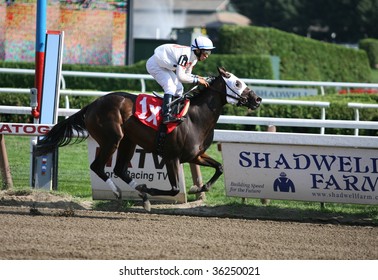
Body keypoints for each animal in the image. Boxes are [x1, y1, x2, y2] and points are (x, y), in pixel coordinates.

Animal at [36, 67, 260, 210]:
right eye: (237, 82)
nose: (257, 99)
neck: (195, 118)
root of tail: (92, 104)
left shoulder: (195, 155)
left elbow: (220, 167)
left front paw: (201, 187)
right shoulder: (171, 157)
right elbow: (174, 189)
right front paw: (152, 188)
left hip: (128, 142)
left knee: (119, 169)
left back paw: (142, 195)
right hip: (112, 139)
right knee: (97, 166)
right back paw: (121, 192)